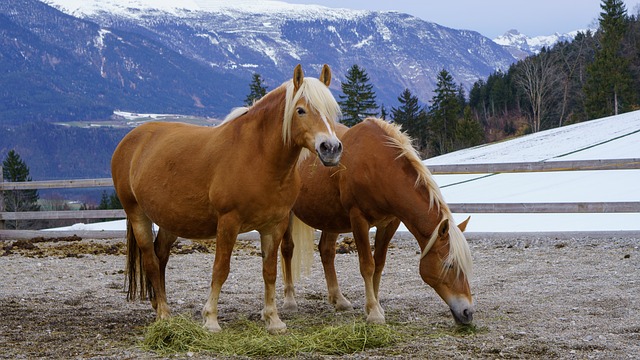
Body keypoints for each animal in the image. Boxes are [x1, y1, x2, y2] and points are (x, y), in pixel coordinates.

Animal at [110, 64, 342, 334]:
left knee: (161, 256)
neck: (258, 157)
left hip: (171, 221)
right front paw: (210, 319)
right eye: (301, 110)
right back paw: (164, 315)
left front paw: (273, 319)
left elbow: (269, 272)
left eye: (331, 110)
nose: (331, 148)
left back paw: (159, 304)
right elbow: (221, 269)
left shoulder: (274, 226)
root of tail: (131, 139)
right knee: (150, 260)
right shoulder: (228, 223)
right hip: (138, 215)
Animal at [282, 119, 476, 326]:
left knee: (326, 251)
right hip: (287, 214)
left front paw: (376, 306)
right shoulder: (358, 220)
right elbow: (367, 265)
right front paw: (374, 312)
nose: (468, 312)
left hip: (331, 218)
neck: (377, 166)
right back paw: (290, 301)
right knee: (287, 250)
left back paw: (339, 300)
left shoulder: (390, 223)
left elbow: (379, 264)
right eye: (449, 266)